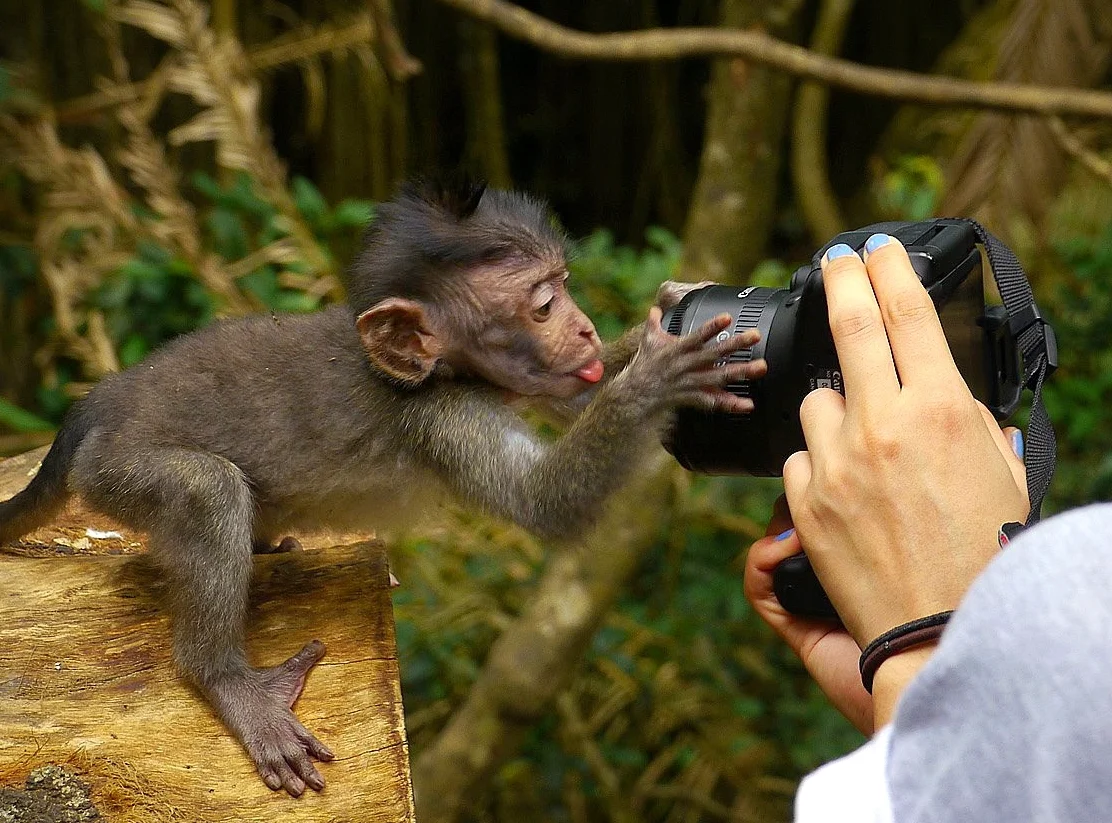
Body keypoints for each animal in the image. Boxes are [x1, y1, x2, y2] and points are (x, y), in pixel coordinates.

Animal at [0, 179, 765, 797]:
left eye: (566, 285)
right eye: (543, 305)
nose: (582, 327)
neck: (439, 372)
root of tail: (102, 400)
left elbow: (577, 398)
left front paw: (660, 317)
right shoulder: (436, 416)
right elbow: (544, 500)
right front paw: (657, 376)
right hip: (119, 468)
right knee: (207, 491)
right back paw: (228, 681)